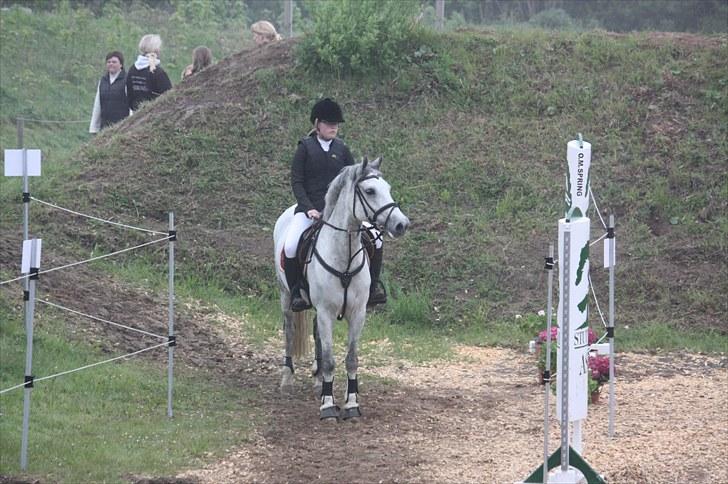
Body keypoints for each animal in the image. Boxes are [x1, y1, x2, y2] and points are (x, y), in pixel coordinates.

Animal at [272, 158, 410, 420]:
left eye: (387, 187)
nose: (402, 224)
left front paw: (352, 403)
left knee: (315, 332)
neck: (343, 256)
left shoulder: (357, 313)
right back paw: (286, 379)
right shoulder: (326, 312)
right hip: (285, 297)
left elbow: (351, 359)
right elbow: (329, 361)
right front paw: (328, 406)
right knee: (289, 332)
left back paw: (318, 381)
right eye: (370, 191)